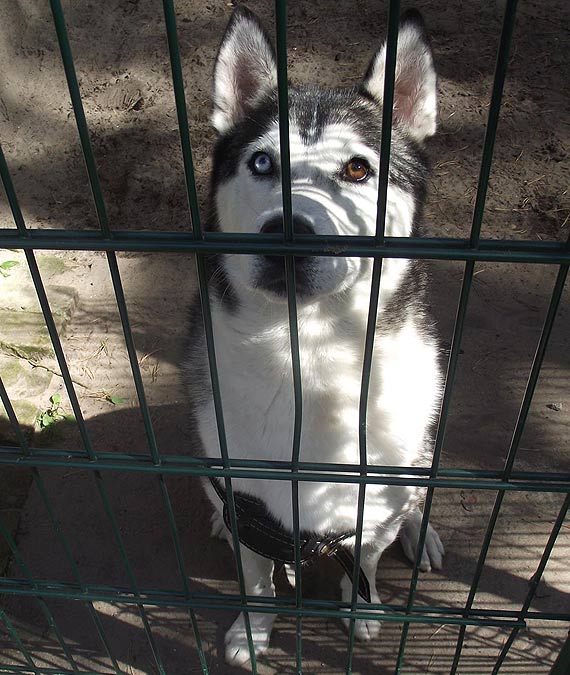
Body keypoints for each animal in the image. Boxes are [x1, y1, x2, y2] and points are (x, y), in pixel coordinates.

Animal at [186, 5, 444, 664]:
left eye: (357, 167)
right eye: (261, 162)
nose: (287, 231)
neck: (309, 358)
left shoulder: (374, 507)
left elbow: (367, 559)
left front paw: (362, 609)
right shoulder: (249, 507)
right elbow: (256, 578)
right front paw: (253, 632)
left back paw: (423, 533)